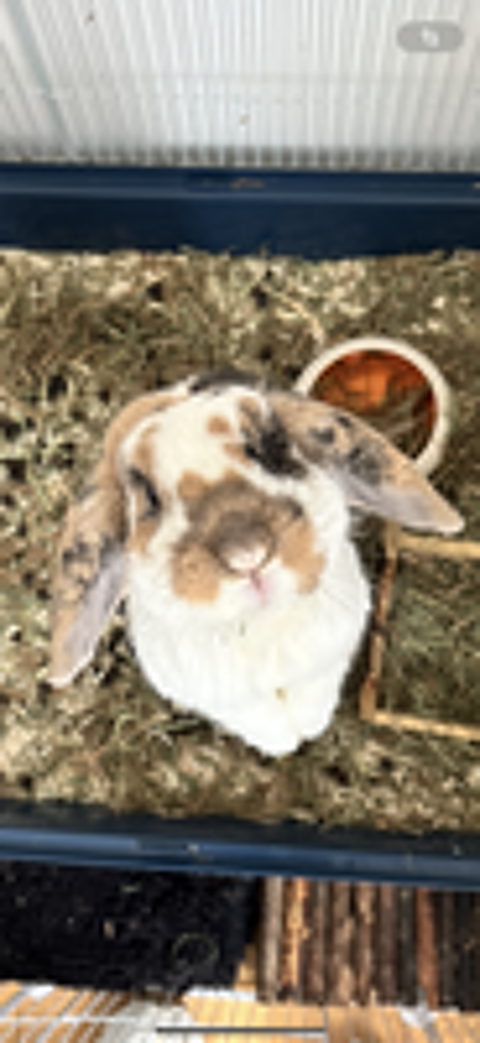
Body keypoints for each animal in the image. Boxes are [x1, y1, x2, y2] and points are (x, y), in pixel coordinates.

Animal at [49, 367, 463, 756]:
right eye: (148, 496)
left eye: (270, 448)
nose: (246, 554)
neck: (264, 626)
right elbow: (266, 723)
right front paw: (285, 744)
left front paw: (307, 730)